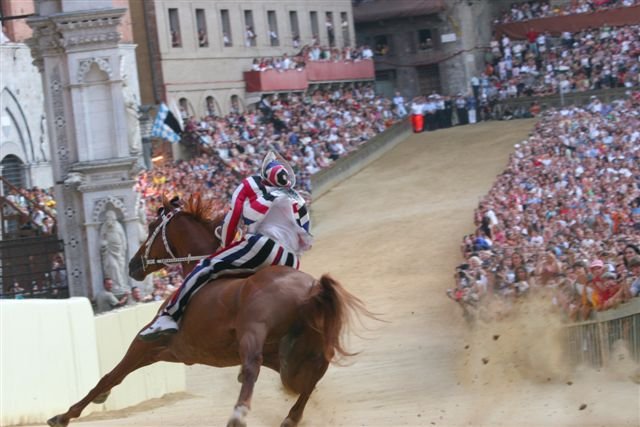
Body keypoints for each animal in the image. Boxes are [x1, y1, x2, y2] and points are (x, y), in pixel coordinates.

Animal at [47, 194, 372, 427]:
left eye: (151, 228)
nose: (132, 265)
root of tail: (311, 289)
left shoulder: (145, 342)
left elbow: (111, 375)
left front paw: (63, 415)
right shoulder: (175, 351)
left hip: (253, 332)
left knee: (253, 368)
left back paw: (238, 415)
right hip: (303, 345)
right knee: (315, 373)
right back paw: (290, 418)